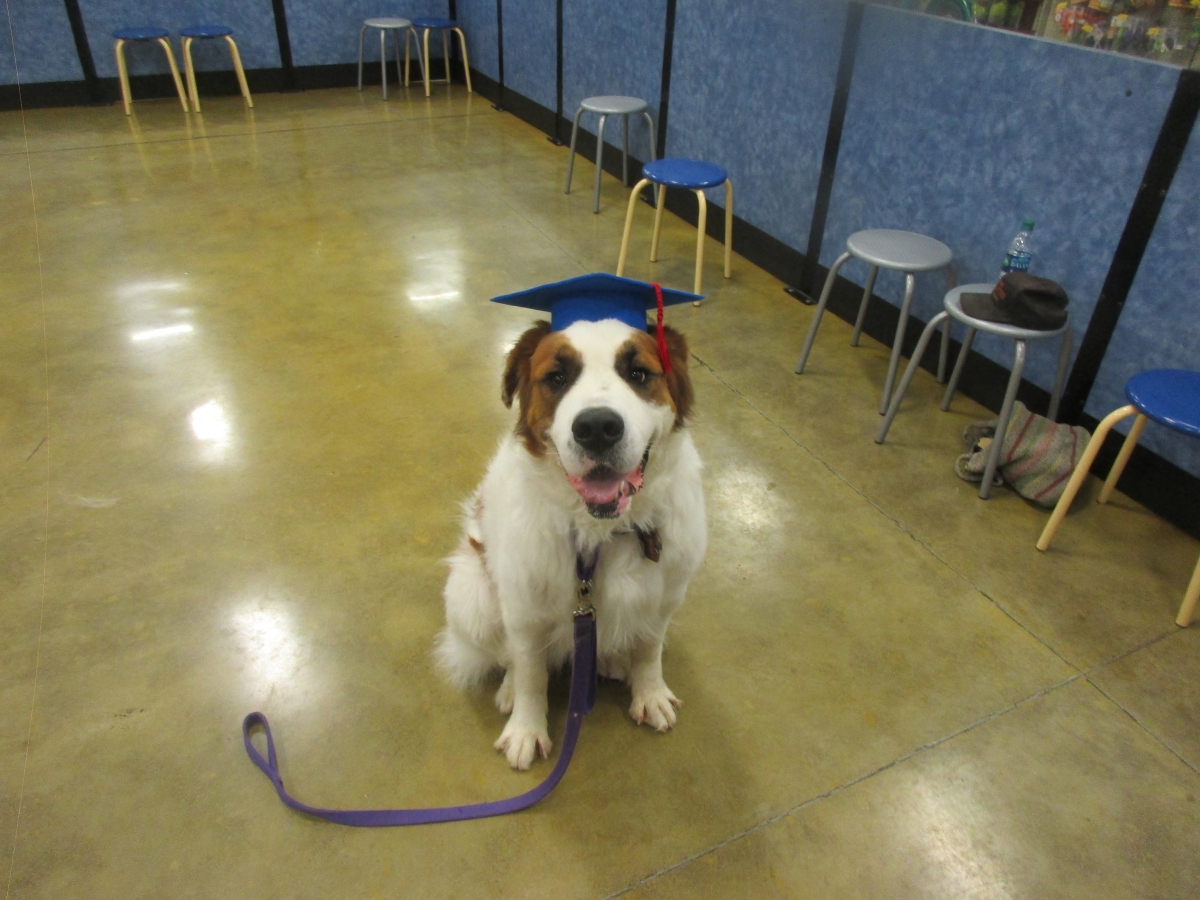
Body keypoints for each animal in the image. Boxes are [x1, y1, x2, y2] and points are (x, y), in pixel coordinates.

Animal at [436, 316, 706, 769]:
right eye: (557, 378)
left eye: (638, 374)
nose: (597, 427)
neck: (602, 533)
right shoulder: (524, 610)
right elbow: (531, 672)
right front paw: (526, 729)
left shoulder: (664, 596)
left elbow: (649, 647)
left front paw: (650, 692)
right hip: (471, 597)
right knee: (507, 655)